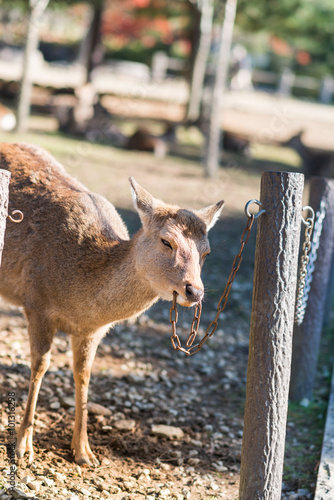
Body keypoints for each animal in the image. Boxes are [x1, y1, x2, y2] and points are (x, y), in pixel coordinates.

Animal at [0, 143, 224, 466]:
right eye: (166, 241)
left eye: (206, 253)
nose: (194, 291)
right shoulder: (36, 302)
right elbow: (40, 365)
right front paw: (22, 448)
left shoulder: (93, 331)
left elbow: (83, 373)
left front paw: (84, 452)